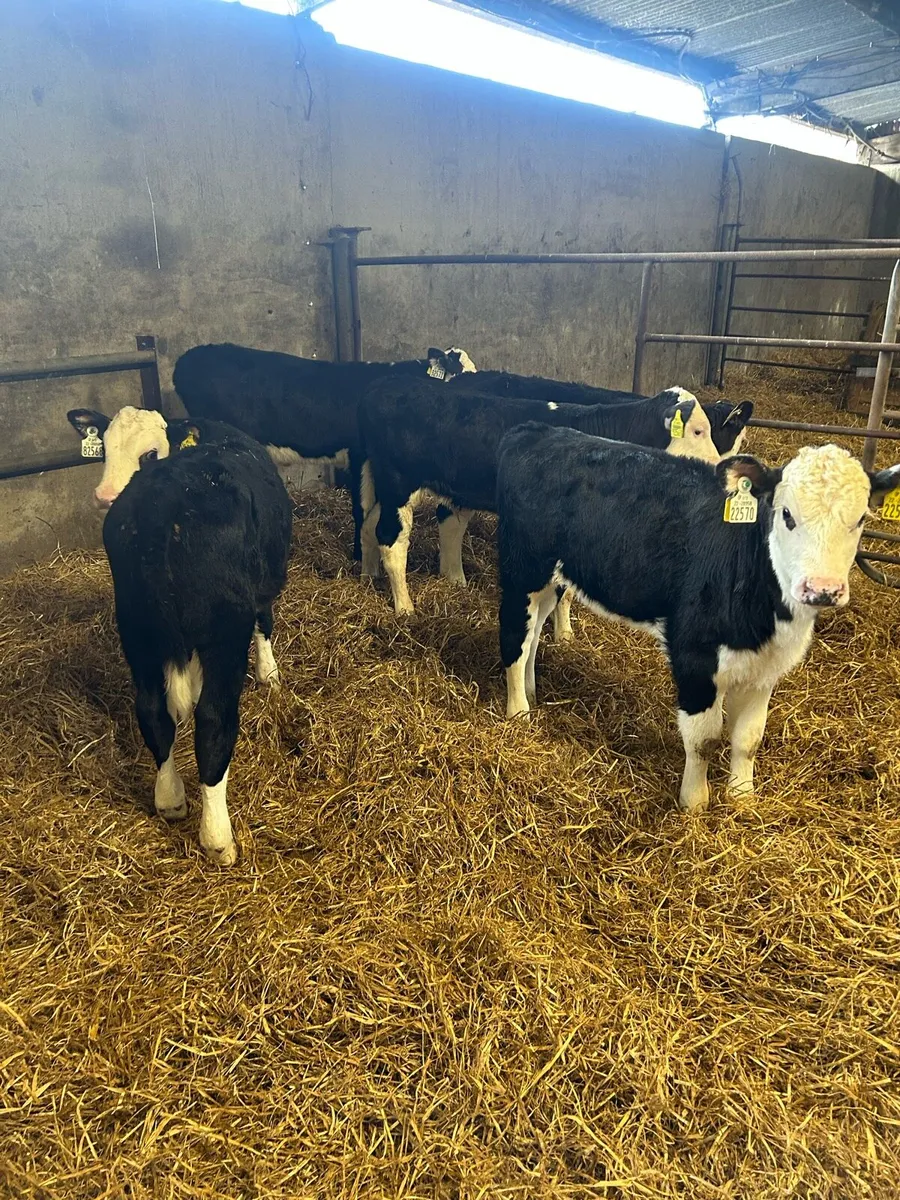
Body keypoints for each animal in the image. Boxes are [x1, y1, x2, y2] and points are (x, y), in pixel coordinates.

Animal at [68, 406, 292, 865]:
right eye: (105, 450)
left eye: (149, 452)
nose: (103, 495)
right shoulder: (259, 590)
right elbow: (265, 622)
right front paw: (270, 674)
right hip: (222, 630)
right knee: (214, 722)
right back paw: (218, 837)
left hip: (136, 626)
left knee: (153, 711)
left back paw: (169, 799)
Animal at [357, 378, 722, 617]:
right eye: (698, 430)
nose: (721, 467)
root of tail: (382, 392)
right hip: (398, 486)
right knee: (391, 540)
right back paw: (404, 607)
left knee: (369, 525)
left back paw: (368, 574)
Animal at [495, 422, 900, 813]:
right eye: (786, 514)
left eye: (860, 519)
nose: (823, 589)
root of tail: (538, 430)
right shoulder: (694, 655)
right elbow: (703, 738)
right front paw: (694, 804)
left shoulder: (766, 668)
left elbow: (749, 738)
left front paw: (743, 797)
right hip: (523, 569)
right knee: (515, 638)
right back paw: (519, 712)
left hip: (550, 579)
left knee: (533, 632)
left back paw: (530, 690)